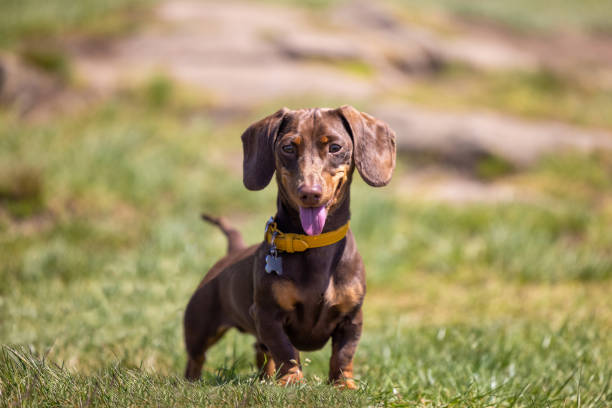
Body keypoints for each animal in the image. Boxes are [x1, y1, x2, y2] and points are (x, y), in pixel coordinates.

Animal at [183, 106, 396, 388]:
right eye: (288, 147)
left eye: (335, 147)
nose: (310, 193)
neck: (314, 243)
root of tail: (233, 251)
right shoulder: (267, 315)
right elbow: (286, 350)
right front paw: (292, 380)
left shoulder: (352, 318)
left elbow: (343, 354)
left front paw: (343, 384)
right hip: (200, 325)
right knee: (196, 357)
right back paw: (192, 381)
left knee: (260, 352)